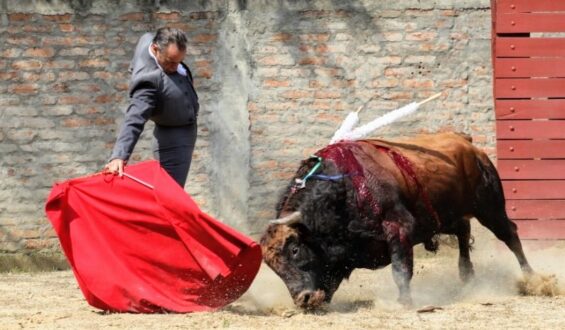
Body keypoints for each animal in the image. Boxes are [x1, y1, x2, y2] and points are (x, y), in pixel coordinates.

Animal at [260, 131, 532, 310]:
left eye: (295, 249)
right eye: (272, 266)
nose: (303, 299)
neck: (344, 189)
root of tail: (466, 142)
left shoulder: (399, 229)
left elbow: (400, 269)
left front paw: (404, 302)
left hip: (490, 207)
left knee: (510, 235)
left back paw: (530, 278)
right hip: (446, 215)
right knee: (464, 232)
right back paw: (466, 276)